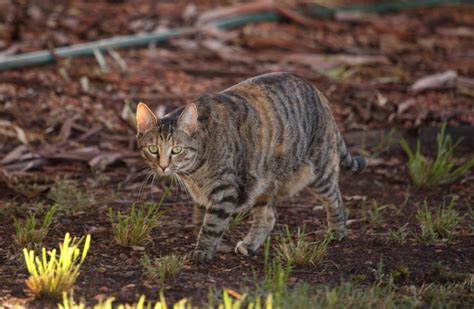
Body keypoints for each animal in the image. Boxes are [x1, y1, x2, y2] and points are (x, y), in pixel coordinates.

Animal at [135, 72, 364, 262]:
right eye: (153, 149)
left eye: (176, 150)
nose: (163, 166)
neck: (194, 172)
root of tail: (319, 93)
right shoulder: (203, 195)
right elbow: (200, 219)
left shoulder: (224, 190)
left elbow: (211, 225)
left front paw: (203, 251)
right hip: (263, 181)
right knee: (268, 217)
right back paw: (251, 243)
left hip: (319, 171)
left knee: (336, 200)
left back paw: (337, 231)